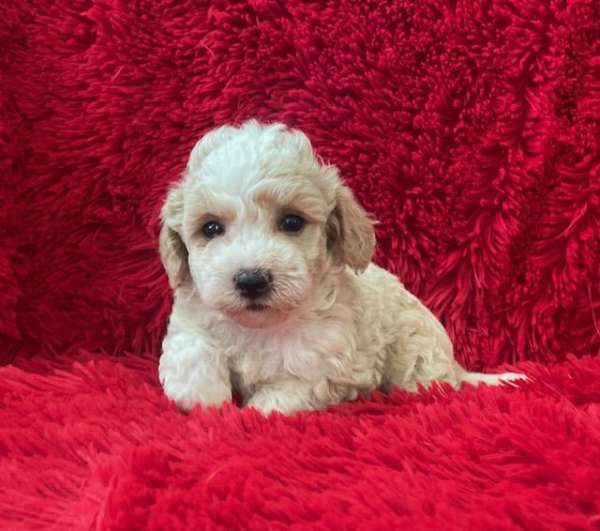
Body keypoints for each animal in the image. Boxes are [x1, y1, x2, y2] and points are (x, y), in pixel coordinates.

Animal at [156, 120, 524, 416]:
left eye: (292, 222)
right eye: (211, 228)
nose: (250, 280)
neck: (262, 325)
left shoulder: (324, 364)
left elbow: (282, 394)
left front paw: (249, 413)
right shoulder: (190, 319)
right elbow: (191, 358)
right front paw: (209, 403)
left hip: (417, 354)